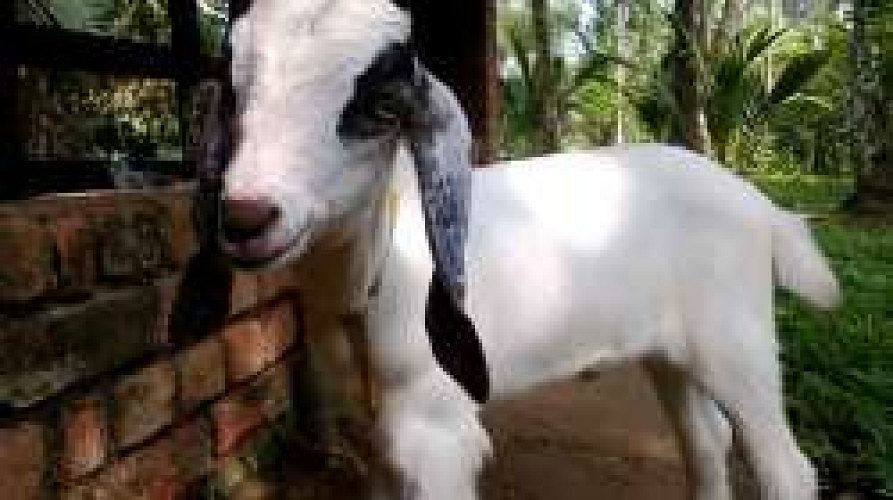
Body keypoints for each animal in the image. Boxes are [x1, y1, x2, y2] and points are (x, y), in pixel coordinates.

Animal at [218, 1, 840, 499]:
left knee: (786, 466)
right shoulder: (375, 431)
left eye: (378, 107)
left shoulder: (438, 429)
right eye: (239, 92)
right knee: (707, 440)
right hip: (670, 350)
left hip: (737, 344)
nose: (245, 216)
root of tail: (761, 208)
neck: (376, 269)